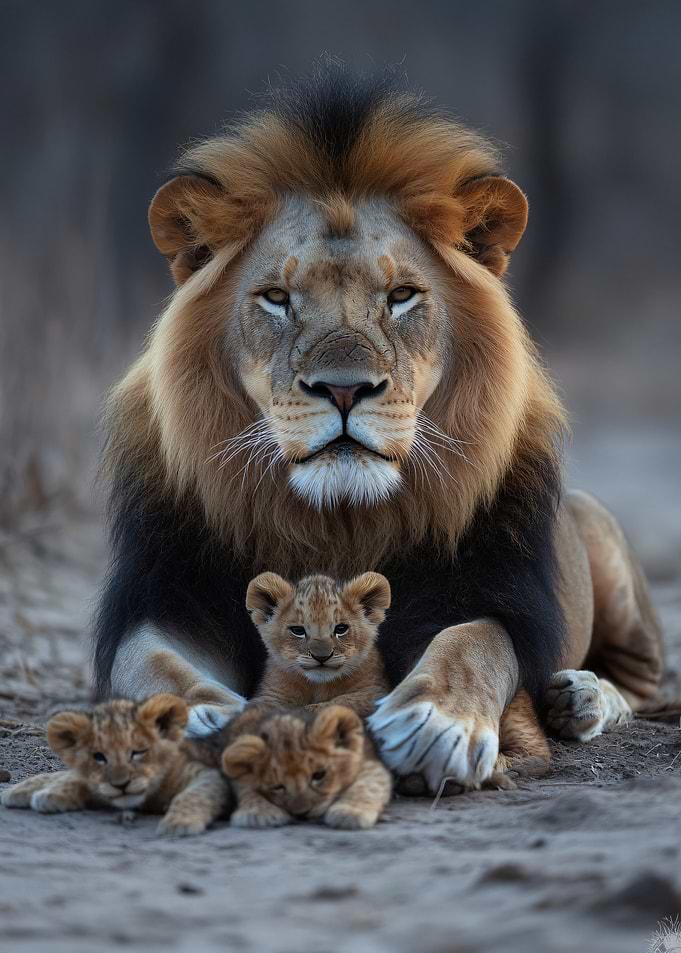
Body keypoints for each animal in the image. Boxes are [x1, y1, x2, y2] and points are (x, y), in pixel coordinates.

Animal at [93, 63, 663, 793]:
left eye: (400, 297)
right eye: (276, 298)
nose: (344, 388)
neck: (338, 521)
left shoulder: (487, 591)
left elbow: (474, 642)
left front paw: (436, 724)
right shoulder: (169, 594)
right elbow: (151, 663)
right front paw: (200, 720)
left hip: (601, 539)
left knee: (649, 682)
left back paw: (581, 697)